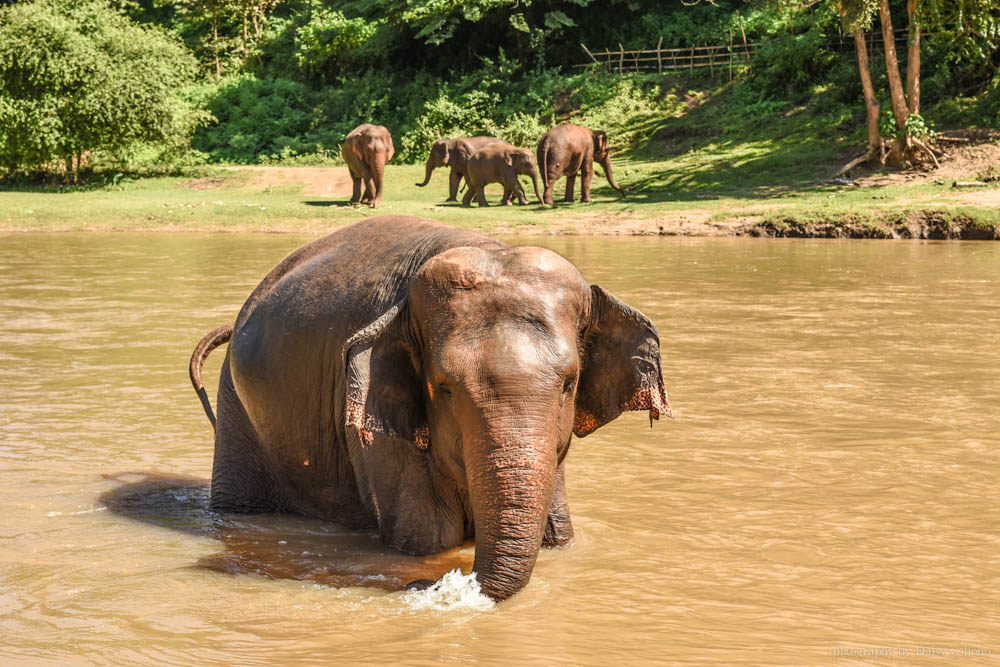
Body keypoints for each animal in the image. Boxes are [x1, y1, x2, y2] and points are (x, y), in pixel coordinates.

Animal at [188, 217, 672, 604]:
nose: (422, 585)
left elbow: (558, 532)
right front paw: (427, 560)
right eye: (444, 389)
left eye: (569, 384)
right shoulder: (371, 421)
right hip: (237, 408)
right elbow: (429, 538)